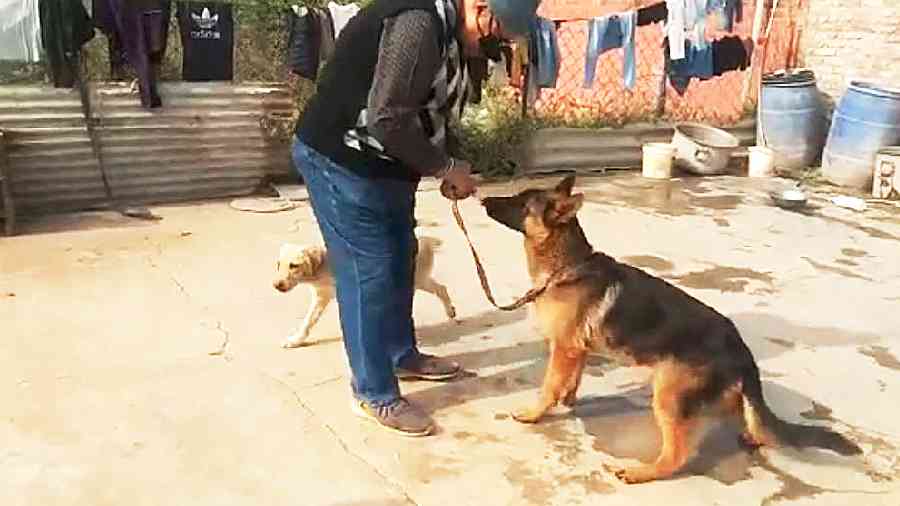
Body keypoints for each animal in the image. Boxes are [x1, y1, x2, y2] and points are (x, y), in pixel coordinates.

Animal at [272, 236, 458, 348]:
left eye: (294, 265)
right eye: (279, 264)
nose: (276, 285)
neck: (322, 265)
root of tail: (426, 239)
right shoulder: (323, 295)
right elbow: (309, 320)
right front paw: (296, 339)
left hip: (412, 281)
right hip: (420, 280)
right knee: (441, 288)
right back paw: (450, 311)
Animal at [482, 177, 860, 482]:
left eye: (521, 203)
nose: (483, 199)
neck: (567, 265)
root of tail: (740, 347)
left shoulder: (563, 348)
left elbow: (548, 386)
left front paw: (534, 414)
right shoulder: (576, 349)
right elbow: (570, 381)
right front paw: (568, 400)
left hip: (667, 396)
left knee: (677, 455)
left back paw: (642, 472)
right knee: (752, 417)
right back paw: (753, 435)